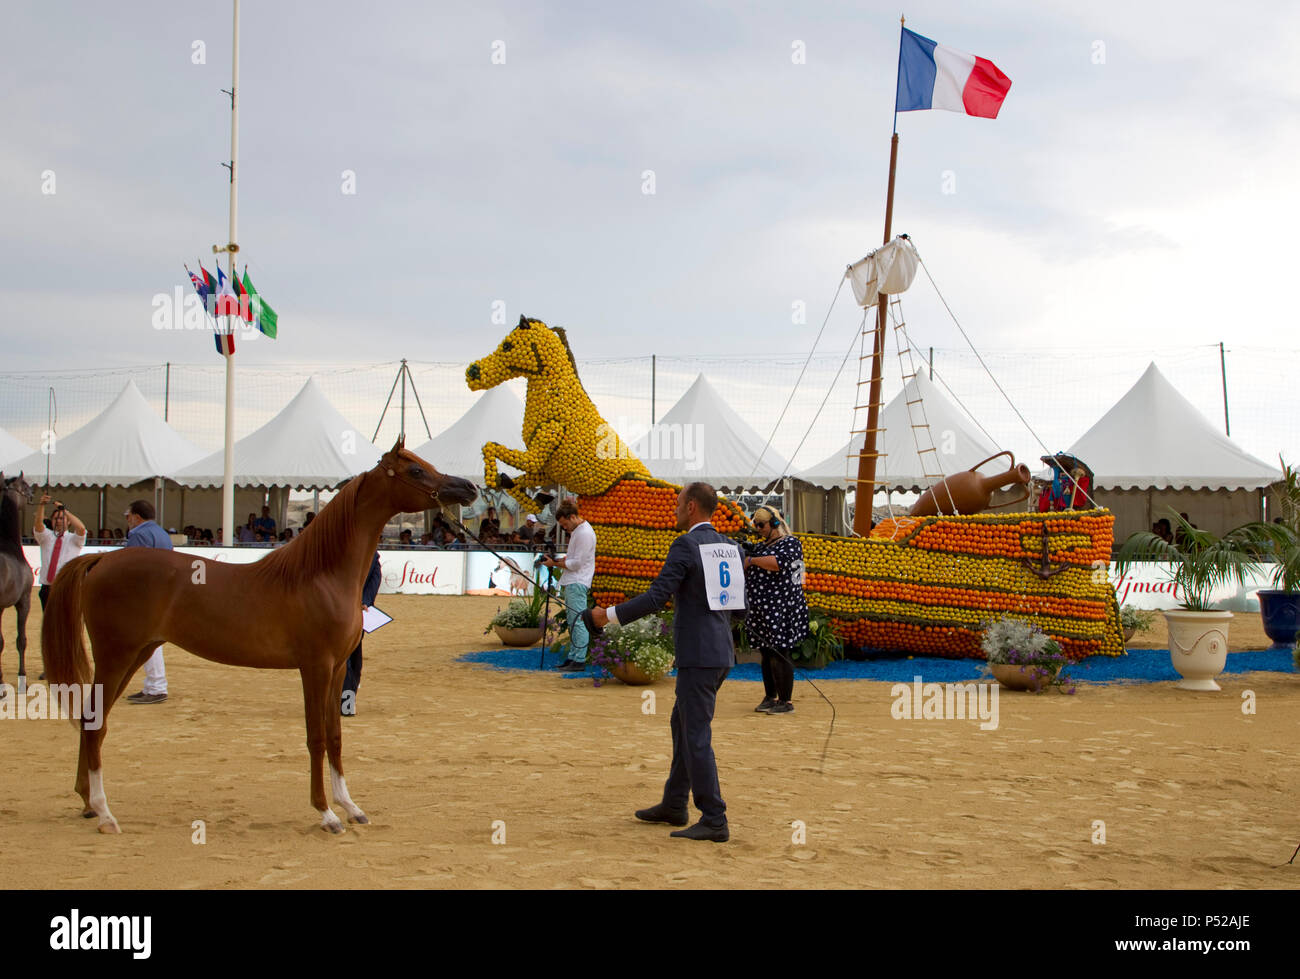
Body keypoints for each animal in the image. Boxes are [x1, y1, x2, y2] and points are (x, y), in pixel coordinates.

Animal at [39, 439, 478, 826]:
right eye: (415, 470)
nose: (469, 489)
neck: (320, 574)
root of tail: (100, 560)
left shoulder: (338, 669)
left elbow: (335, 736)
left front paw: (351, 807)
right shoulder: (315, 667)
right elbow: (316, 737)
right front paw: (326, 813)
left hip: (137, 653)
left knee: (92, 719)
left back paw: (88, 804)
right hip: (116, 655)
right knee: (95, 723)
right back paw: (105, 813)